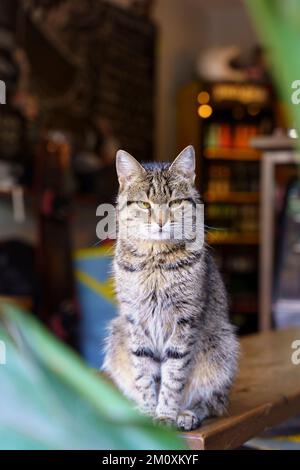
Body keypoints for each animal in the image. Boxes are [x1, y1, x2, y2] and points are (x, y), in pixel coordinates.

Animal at [103, 146, 239, 430]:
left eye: (175, 203)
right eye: (144, 204)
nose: (161, 222)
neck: (155, 260)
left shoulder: (184, 320)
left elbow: (173, 377)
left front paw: (166, 414)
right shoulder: (135, 319)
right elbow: (144, 374)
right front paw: (148, 411)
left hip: (222, 345)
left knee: (212, 401)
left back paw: (187, 414)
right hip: (117, 334)